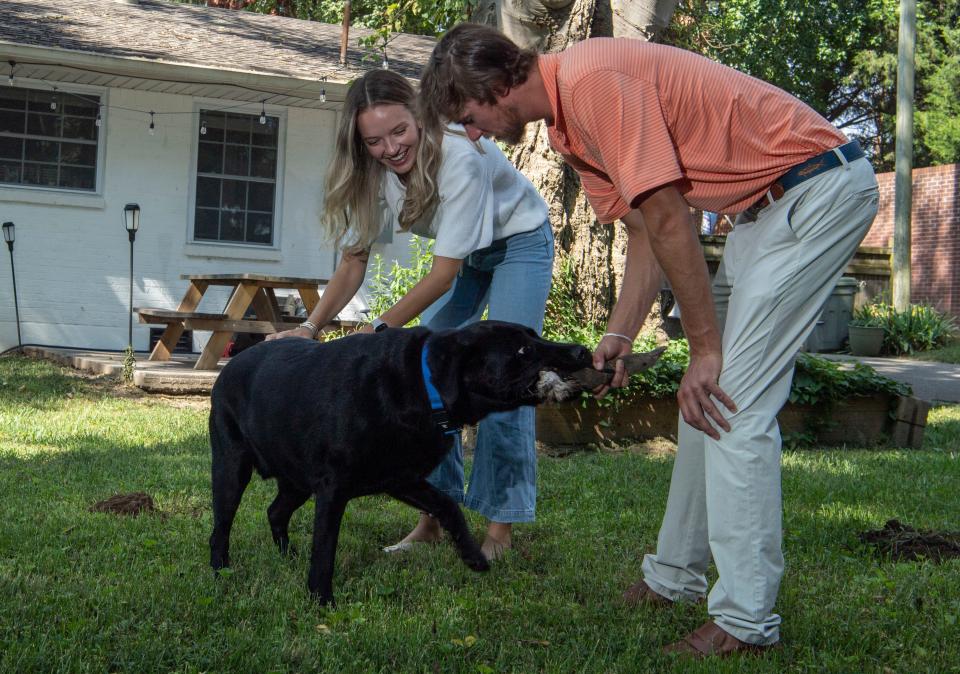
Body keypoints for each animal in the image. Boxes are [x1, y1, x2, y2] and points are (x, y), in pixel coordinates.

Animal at [210, 318, 592, 600]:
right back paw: (220, 570)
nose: (583, 351)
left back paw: (287, 557)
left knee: (275, 511)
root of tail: (230, 366)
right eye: (523, 350)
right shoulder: (334, 488)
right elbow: (325, 548)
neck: (422, 386)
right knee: (221, 527)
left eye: (535, 335)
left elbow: (448, 507)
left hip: (296, 480)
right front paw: (321, 599)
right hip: (231, 469)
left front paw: (473, 556)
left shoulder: (401, 477)